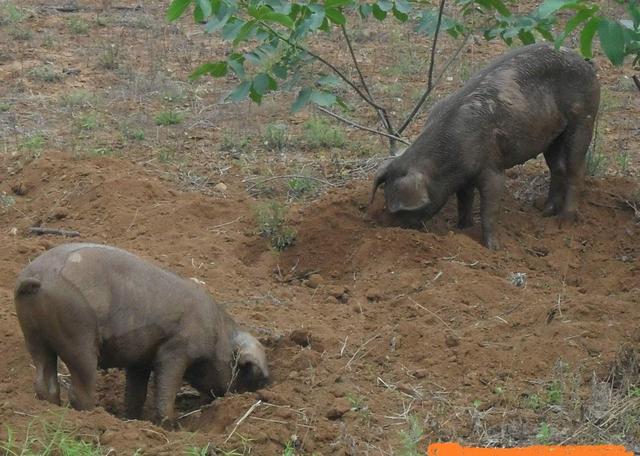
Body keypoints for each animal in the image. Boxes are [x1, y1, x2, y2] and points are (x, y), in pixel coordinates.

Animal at [14, 244, 270, 426]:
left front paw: (132, 419)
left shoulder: (139, 360)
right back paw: (96, 417)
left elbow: (136, 393)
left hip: (32, 334)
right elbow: (166, 386)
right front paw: (170, 425)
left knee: (44, 381)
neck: (219, 336)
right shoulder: (175, 350)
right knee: (80, 390)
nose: (267, 384)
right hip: (78, 337)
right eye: (249, 375)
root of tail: (39, 276)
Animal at [370, 42, 600, 249]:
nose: (393, 231)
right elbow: (464, 201)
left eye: (402, 210)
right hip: (552, 136)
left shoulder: (492, 167)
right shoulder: (464, 177)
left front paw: (493, 248)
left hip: (584, 118)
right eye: (387, 201)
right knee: (557, 168)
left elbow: (489, 208)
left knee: (576, 169)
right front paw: (462, 229)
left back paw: (565, 221)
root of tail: (586, 62)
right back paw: (545, 212)